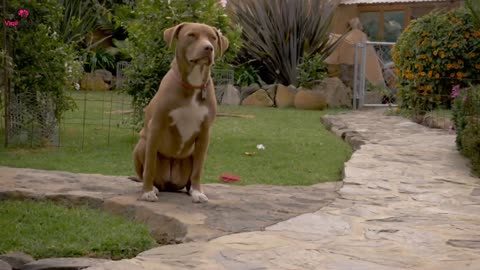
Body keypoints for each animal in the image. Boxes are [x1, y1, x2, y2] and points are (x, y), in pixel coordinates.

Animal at [131, 22, 229, 202]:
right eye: (191, 35)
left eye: (213, 37)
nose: (208, 48)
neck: (193, 84)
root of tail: (169, 183)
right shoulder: (156, 126)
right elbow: (149, 165)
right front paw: (147, 191)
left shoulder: (204, 133)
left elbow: (198, 169)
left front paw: (198, 192)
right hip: (141, 145)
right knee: (146, 168)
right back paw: (153, 187)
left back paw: (190, 189)